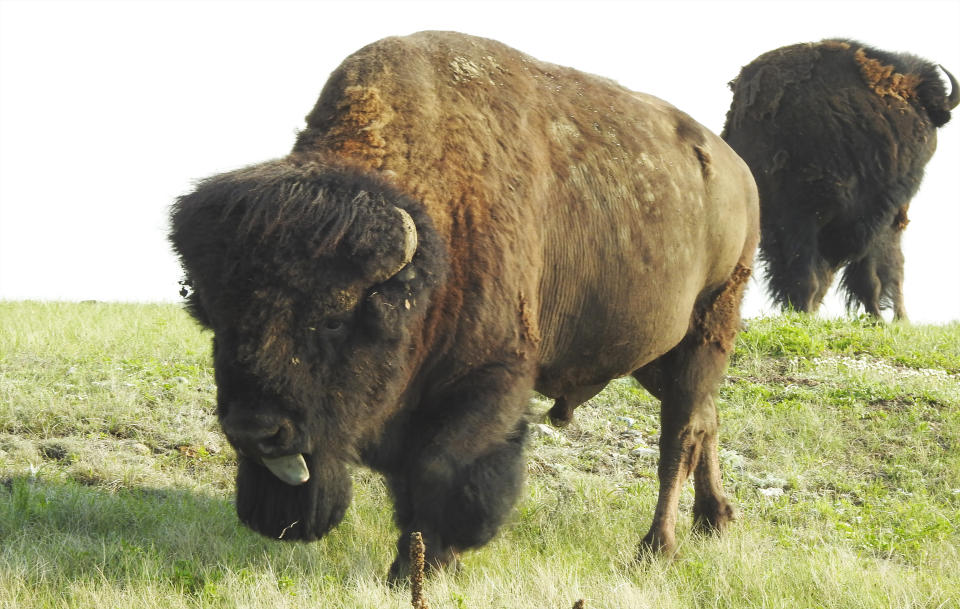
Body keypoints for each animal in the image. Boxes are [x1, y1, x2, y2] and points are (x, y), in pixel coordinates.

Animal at [171, 29, 756, 580]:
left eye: (335, 318)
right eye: (216, 320)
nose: (256, 430)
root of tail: (737, 170)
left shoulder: (488, 377)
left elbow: (440, 469)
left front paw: (424, 566)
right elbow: (409, 483)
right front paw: (422, 562)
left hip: (708, 327)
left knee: (679, 435)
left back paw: (657, 548)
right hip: (654, 356)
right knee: (706, 417)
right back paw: (715, 520)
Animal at [724, 38, 956, 318]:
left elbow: (867, 276)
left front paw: (875, 318)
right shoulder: (802, 219)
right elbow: (811, 276)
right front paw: (805, 314)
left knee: (891, 270)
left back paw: (898, 319)